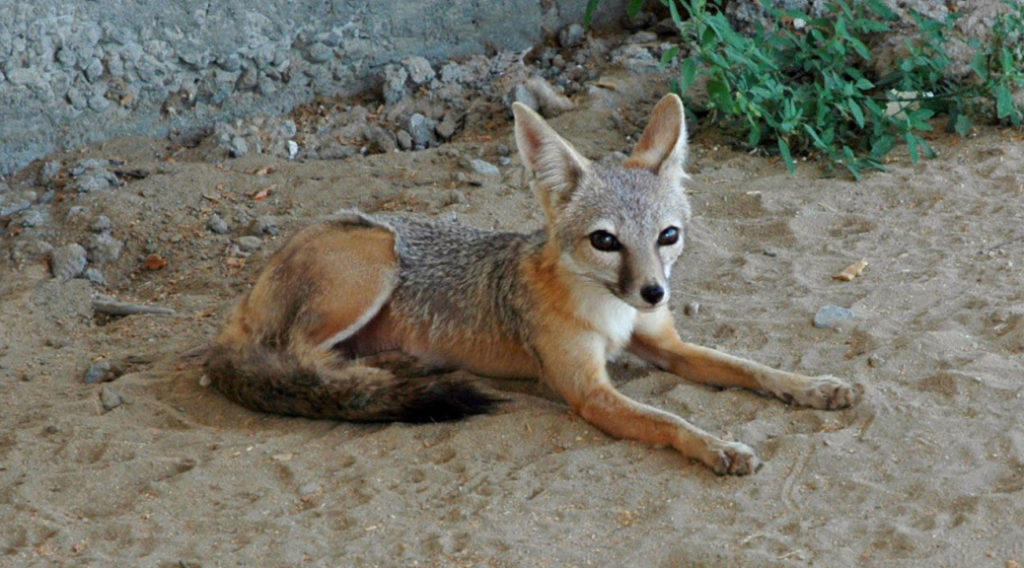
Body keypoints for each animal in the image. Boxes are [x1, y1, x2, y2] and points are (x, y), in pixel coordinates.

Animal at [205, 93, 857, 475]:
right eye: (605, 241)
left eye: (668, 236)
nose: (655, 294)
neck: (609, 311)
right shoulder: (589, 392)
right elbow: (668, 421)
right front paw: (718, 446)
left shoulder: (666, 345)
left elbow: (750, 366)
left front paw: (813, 386)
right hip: (376, 260)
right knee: (295, 358)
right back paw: (390, 371)